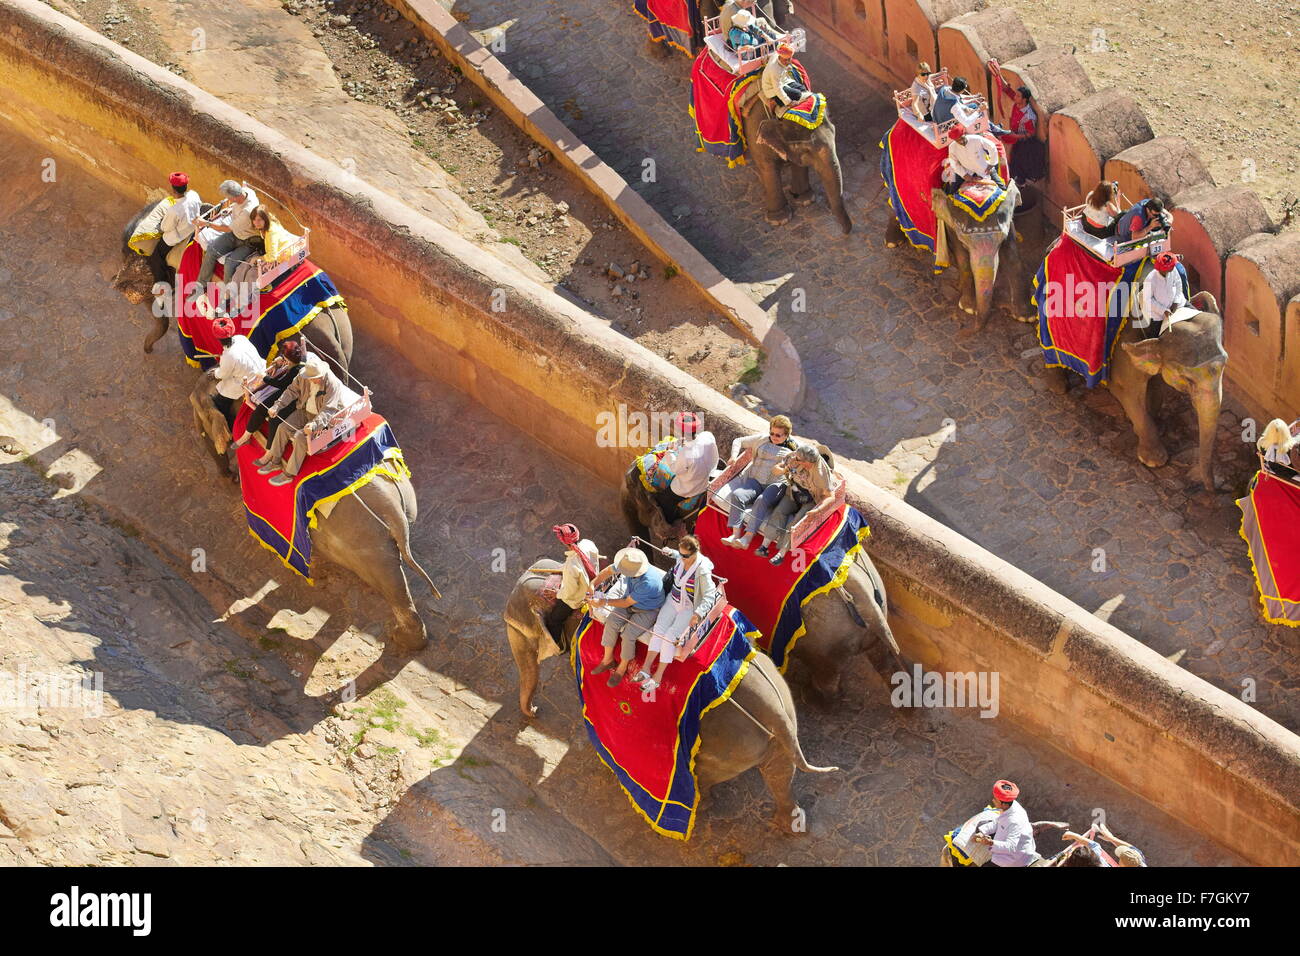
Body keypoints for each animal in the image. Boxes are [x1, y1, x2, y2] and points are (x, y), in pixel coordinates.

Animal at [189, 369, 436, 655]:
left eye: (198, 408)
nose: (227, 476)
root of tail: (394, 515)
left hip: (363, 539)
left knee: (388, 580)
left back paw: (403, 640)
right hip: (401, 509)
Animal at [501, 561, 837, 832]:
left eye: (520, 630)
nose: (535, 711)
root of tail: (776, 715)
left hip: (725, 747)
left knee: (705, 775)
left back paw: (703, 807)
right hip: (775, 725)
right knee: (780, 772)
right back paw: (791, 826)